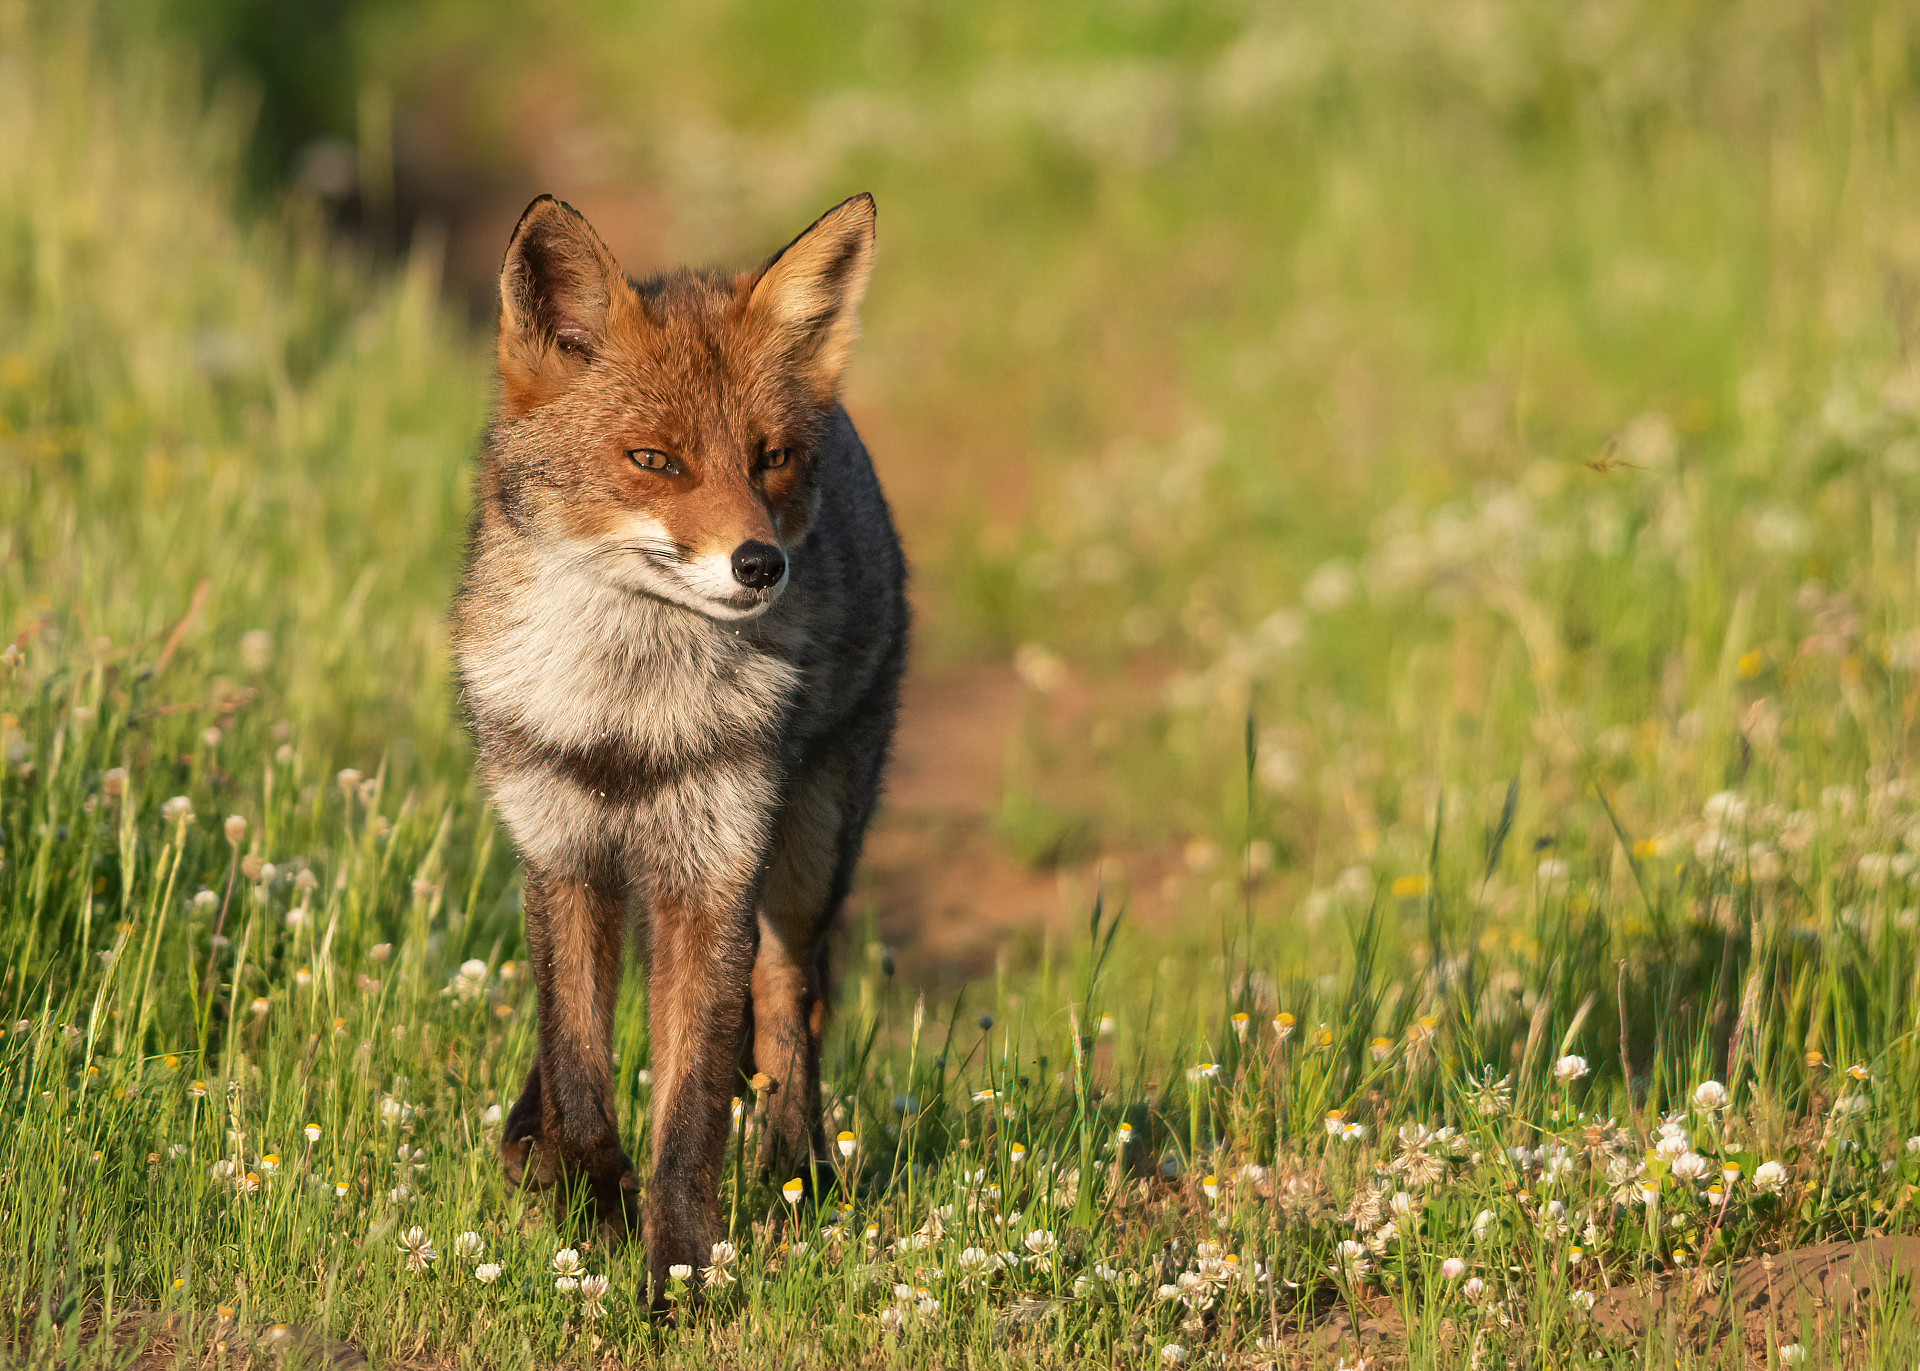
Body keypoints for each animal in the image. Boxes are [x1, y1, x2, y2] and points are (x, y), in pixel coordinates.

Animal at [449, 192, 907, 1306]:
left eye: (770, 458)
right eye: (655, 460)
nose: (761, 564)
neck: (628, 722)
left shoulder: (712, 872)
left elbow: (693, 1103)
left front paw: (682, 1273)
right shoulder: (561, 854)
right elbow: (576, 1062)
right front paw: (591, 1198)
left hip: (807, 854)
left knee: (790, 1004)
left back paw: (795, 1167)